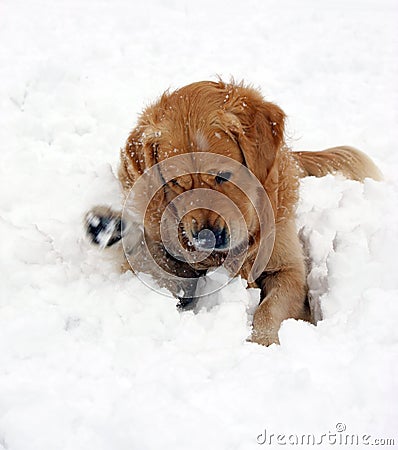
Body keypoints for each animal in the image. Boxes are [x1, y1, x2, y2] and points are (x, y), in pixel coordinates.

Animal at [84, 80, 382, 344]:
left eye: (223, 175)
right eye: (177, 183)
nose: (206, 238)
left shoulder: (289, 267)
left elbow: (270, 308)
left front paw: (262, 342)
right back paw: (106, 226)